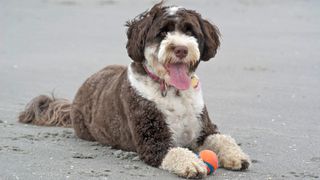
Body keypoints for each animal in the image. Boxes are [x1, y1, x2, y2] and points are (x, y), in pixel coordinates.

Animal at [18, 2, 251, 179]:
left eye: (190, 31)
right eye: (163, 32)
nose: (181, 49)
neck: (172, 90)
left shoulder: (204, 129)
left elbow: (223, 138)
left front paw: (236, 155)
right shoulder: (152, 141)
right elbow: (175, 151)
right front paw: (191, 163)